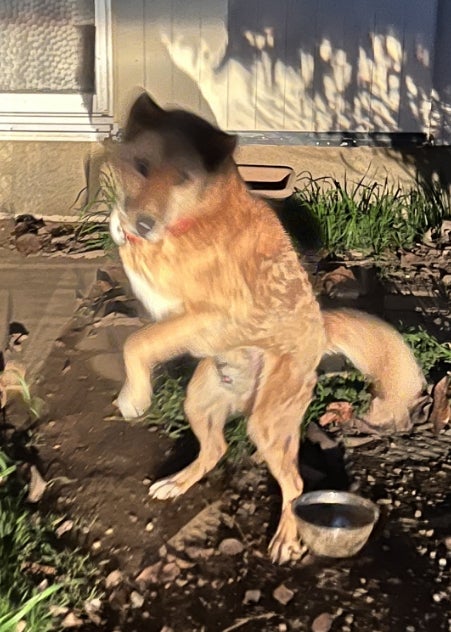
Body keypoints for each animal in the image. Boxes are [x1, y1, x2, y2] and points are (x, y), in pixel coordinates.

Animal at [109, 92, 425, 563]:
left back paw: (286, 539)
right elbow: (141, 336)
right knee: (216, 449)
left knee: (294, 483)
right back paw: (178, 482)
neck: (188, 220)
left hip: (267, 424)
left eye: (182, 179)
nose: (143, 224)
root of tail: (321, 328)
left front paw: (135, 396)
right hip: (199, 401)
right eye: (142, 166)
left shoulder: (211, 314)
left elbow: (137, 341)